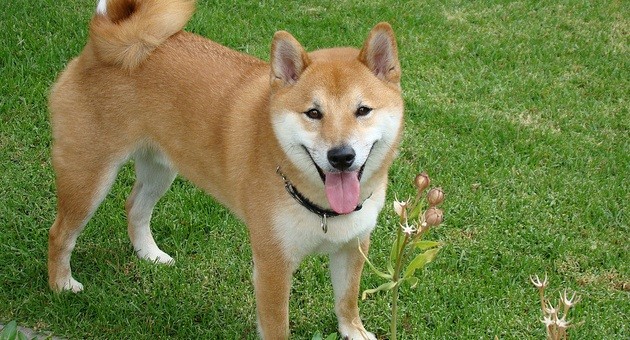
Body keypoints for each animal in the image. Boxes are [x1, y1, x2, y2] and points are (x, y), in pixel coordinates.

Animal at [48, 0, 404, 336]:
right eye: (313, 113)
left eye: (363, 110)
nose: (341, 156)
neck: (322, 208)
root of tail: (104, 44)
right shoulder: (273, 263)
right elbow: (277, 326)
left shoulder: (353, 245)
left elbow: (347, 300)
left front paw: (354, 331)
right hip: (87, 177)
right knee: (60, 234)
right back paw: (61, 285)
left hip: (160, 169)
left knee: (135, 207)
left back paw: (148, 254)